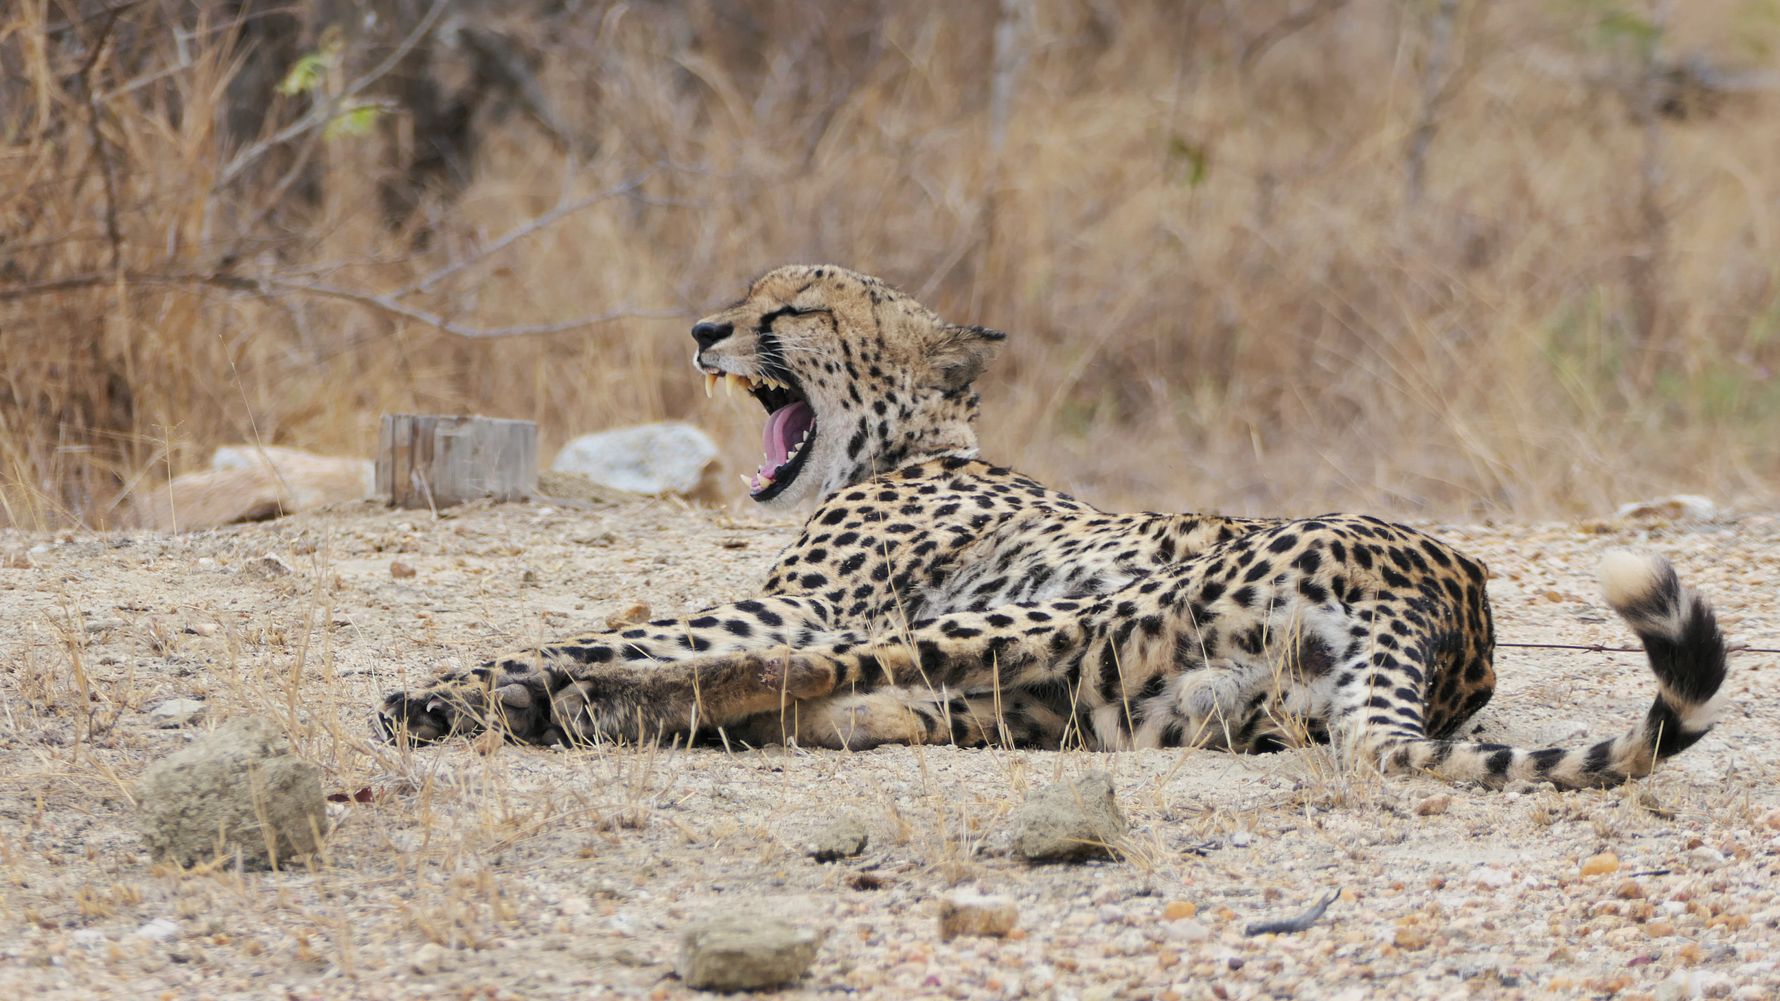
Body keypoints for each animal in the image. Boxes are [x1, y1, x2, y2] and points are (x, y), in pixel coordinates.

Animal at [380, 264, 1730, 789]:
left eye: (794, 305)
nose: (705, 331)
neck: (918, 444)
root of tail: (1456, 602)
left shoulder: (799, 597)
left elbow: (623, 630)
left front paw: (454, 686)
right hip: (1124, 692)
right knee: (885, 698)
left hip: (1067, 612)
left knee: (789, 671)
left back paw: (571, 702)